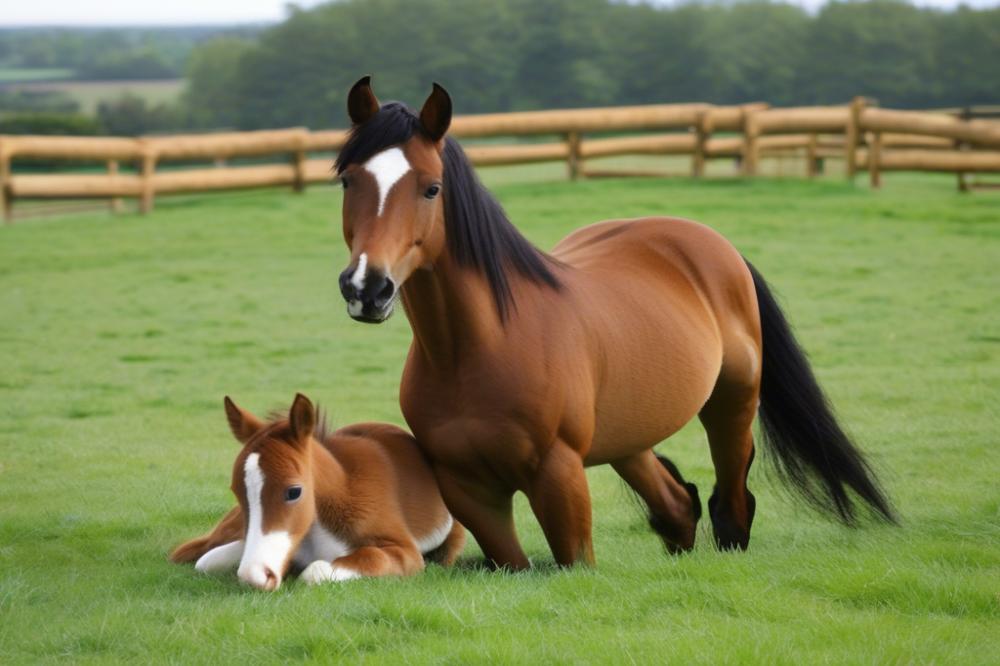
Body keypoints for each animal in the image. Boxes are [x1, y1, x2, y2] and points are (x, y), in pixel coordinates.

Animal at [172, 392, 464, 588]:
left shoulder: (406, 553)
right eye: (236, 490)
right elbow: (208, 561)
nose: (256, 575)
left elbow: (319, 571)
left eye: (294, 491)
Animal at [332, 76, 896, 564]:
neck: (479, 348)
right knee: (677, 505)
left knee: (732, 505)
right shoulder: (469, 491)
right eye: (347, 181)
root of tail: (713, 245)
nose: (367, 288)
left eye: (431, 188)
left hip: (733, 403)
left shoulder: (559, 477)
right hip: (631, 435)